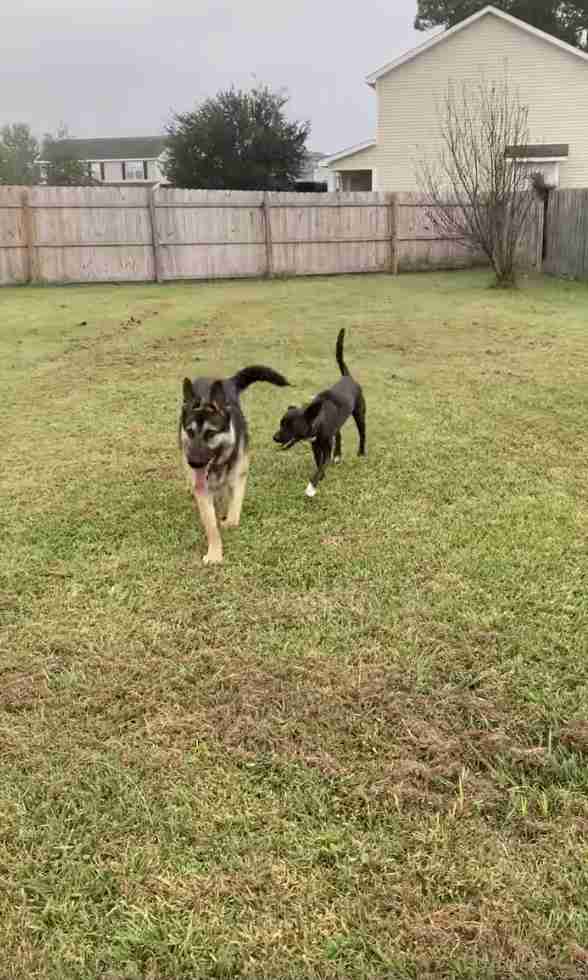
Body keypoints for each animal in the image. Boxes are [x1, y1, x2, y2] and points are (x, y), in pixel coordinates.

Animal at [180, 366, 288, 568]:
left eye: (210, 433)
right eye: (190, 432)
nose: (194, 463)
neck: (219, 463)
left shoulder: (239, 476)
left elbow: (234, 512)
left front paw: (228, 521)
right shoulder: (202, 488)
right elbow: (211, 525)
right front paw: (215, 552)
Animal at [274, 330, 366, 498]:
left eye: (291, 426)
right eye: (281, 423)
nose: (275, 437)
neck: (318, 420)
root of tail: (347, 376)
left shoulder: (326, 448)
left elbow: (323, 464)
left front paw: (312, 487)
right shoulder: (315, 446)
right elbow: (319, 463)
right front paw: (321, 477)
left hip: (360, 414)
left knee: (362, 434)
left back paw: (361, 452)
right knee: (339, 435)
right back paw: (338, 455)